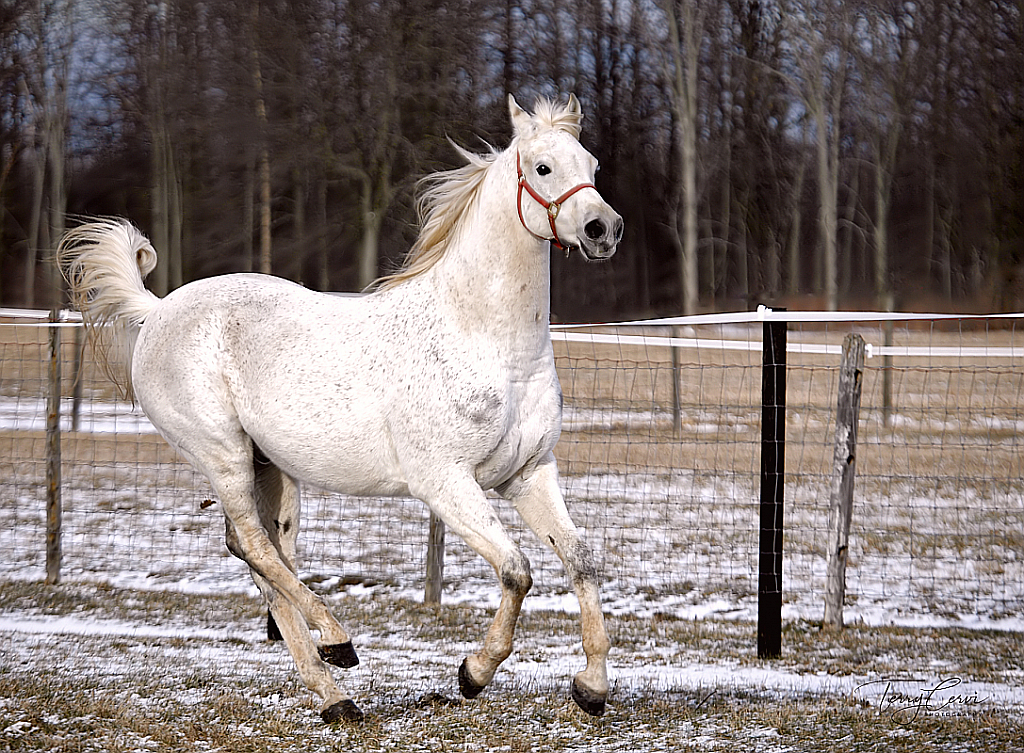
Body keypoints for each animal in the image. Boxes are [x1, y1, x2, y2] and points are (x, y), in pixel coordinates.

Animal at [61, 95, 622, 725]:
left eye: (593, 165)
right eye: (544, 168)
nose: (604, 229)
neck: (488, 340)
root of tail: (156, 311)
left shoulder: (528, 474)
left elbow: (581, 561)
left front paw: (591, 687)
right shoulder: (445, 484)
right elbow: (516, 571)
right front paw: (473, 673)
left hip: (271, 468)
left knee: (261, 554)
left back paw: (334, 694)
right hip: (221, 453)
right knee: (256, 547)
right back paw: (337, 643)